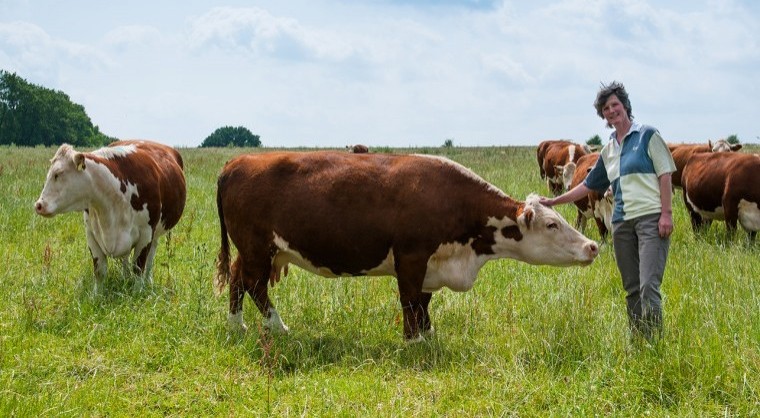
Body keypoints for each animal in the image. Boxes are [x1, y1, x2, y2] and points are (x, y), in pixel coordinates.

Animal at [34, 139, 187, 292]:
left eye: (58, 174)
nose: (39, 205)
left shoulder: (146, 233)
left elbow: (138, 267)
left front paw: (137, 292)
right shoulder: (91, 234)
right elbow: (99, 270)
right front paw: (97, 295)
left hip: (156, 233)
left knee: (149, 259)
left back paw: (148, 281)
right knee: (125, 259)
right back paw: (125, 278)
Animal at [215, 152, 600, 342]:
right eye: (552, 225)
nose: (593, 246)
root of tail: (237, 162)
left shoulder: (432, 264)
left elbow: (424, 302)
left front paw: (427, 334)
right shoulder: (412, 258)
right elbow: (410, 300)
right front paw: (413, 341)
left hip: (255, 251)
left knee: (237, 279)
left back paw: (237, 325)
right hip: (257, 247)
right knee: (254, 284)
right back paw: (278, 327)